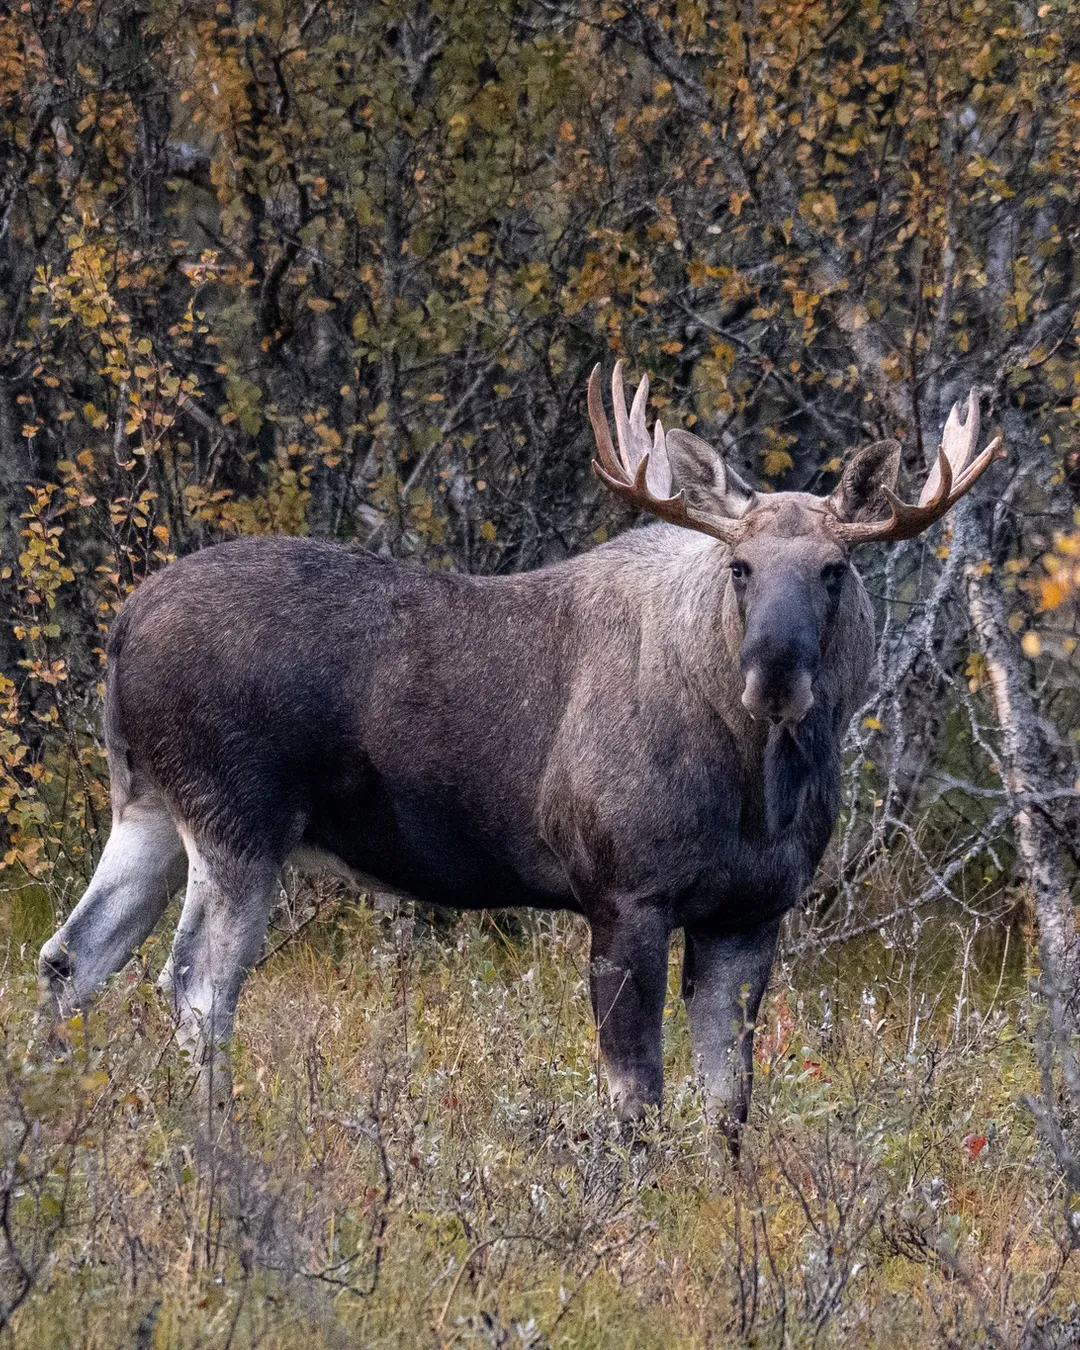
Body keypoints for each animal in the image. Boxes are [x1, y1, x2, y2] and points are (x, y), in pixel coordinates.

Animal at [37, 367, 999, 1128]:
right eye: (740, 567)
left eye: (835, 569)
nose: (773, 678)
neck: (760, 789)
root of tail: (122, 629)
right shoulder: (624, 892)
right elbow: (635, 1093)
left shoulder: (750, 912)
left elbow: (729, 1104)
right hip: (238, 820)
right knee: (195, 985)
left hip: (148, 806)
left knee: (69, 956)